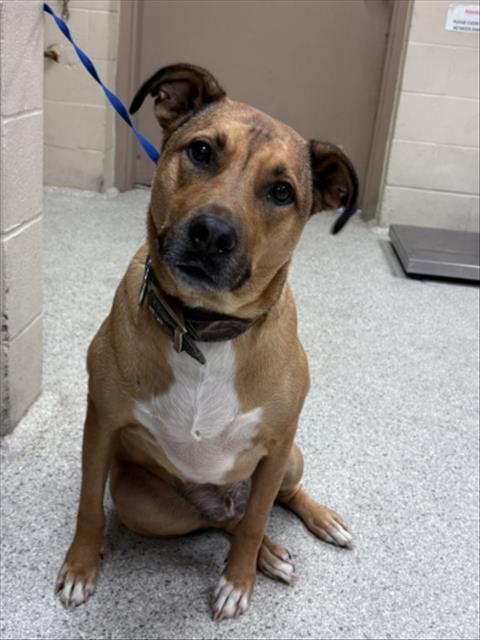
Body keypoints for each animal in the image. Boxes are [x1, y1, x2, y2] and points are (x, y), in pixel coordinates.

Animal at [55, 63, 358, 620]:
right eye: (201, 151)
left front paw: (238, 580)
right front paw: (81, 567)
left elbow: (259, 519)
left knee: (268, 504)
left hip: (291, 458)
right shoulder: (102, 425)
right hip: (139, 500)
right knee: (223, 522)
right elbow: (88, 506)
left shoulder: (277, 444)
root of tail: (221, 497)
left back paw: (312, 525)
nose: (212, 233)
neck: (202, 328)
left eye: (282, 191)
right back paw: (265, 548)